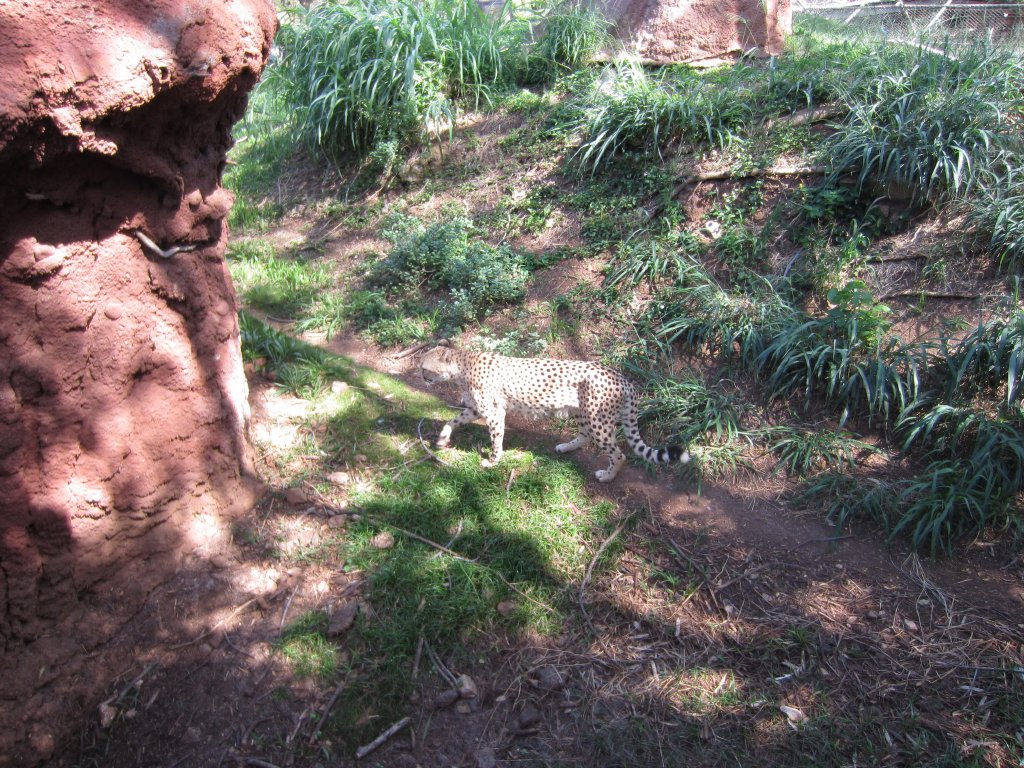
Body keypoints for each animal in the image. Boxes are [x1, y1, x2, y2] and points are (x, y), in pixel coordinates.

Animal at [419, 341, 689, 482]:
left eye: (425, 368)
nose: (420, 375)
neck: (462, 366)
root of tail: (622, 378)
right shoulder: (476, 410)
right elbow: (451, 420)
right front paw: (442, 439)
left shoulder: (494, 414)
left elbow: (496, 439)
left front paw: (493, 461)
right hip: (584, 414)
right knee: (585, 435)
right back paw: (566, 447)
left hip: (598, 420)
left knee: (618, 453)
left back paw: (607, 475)